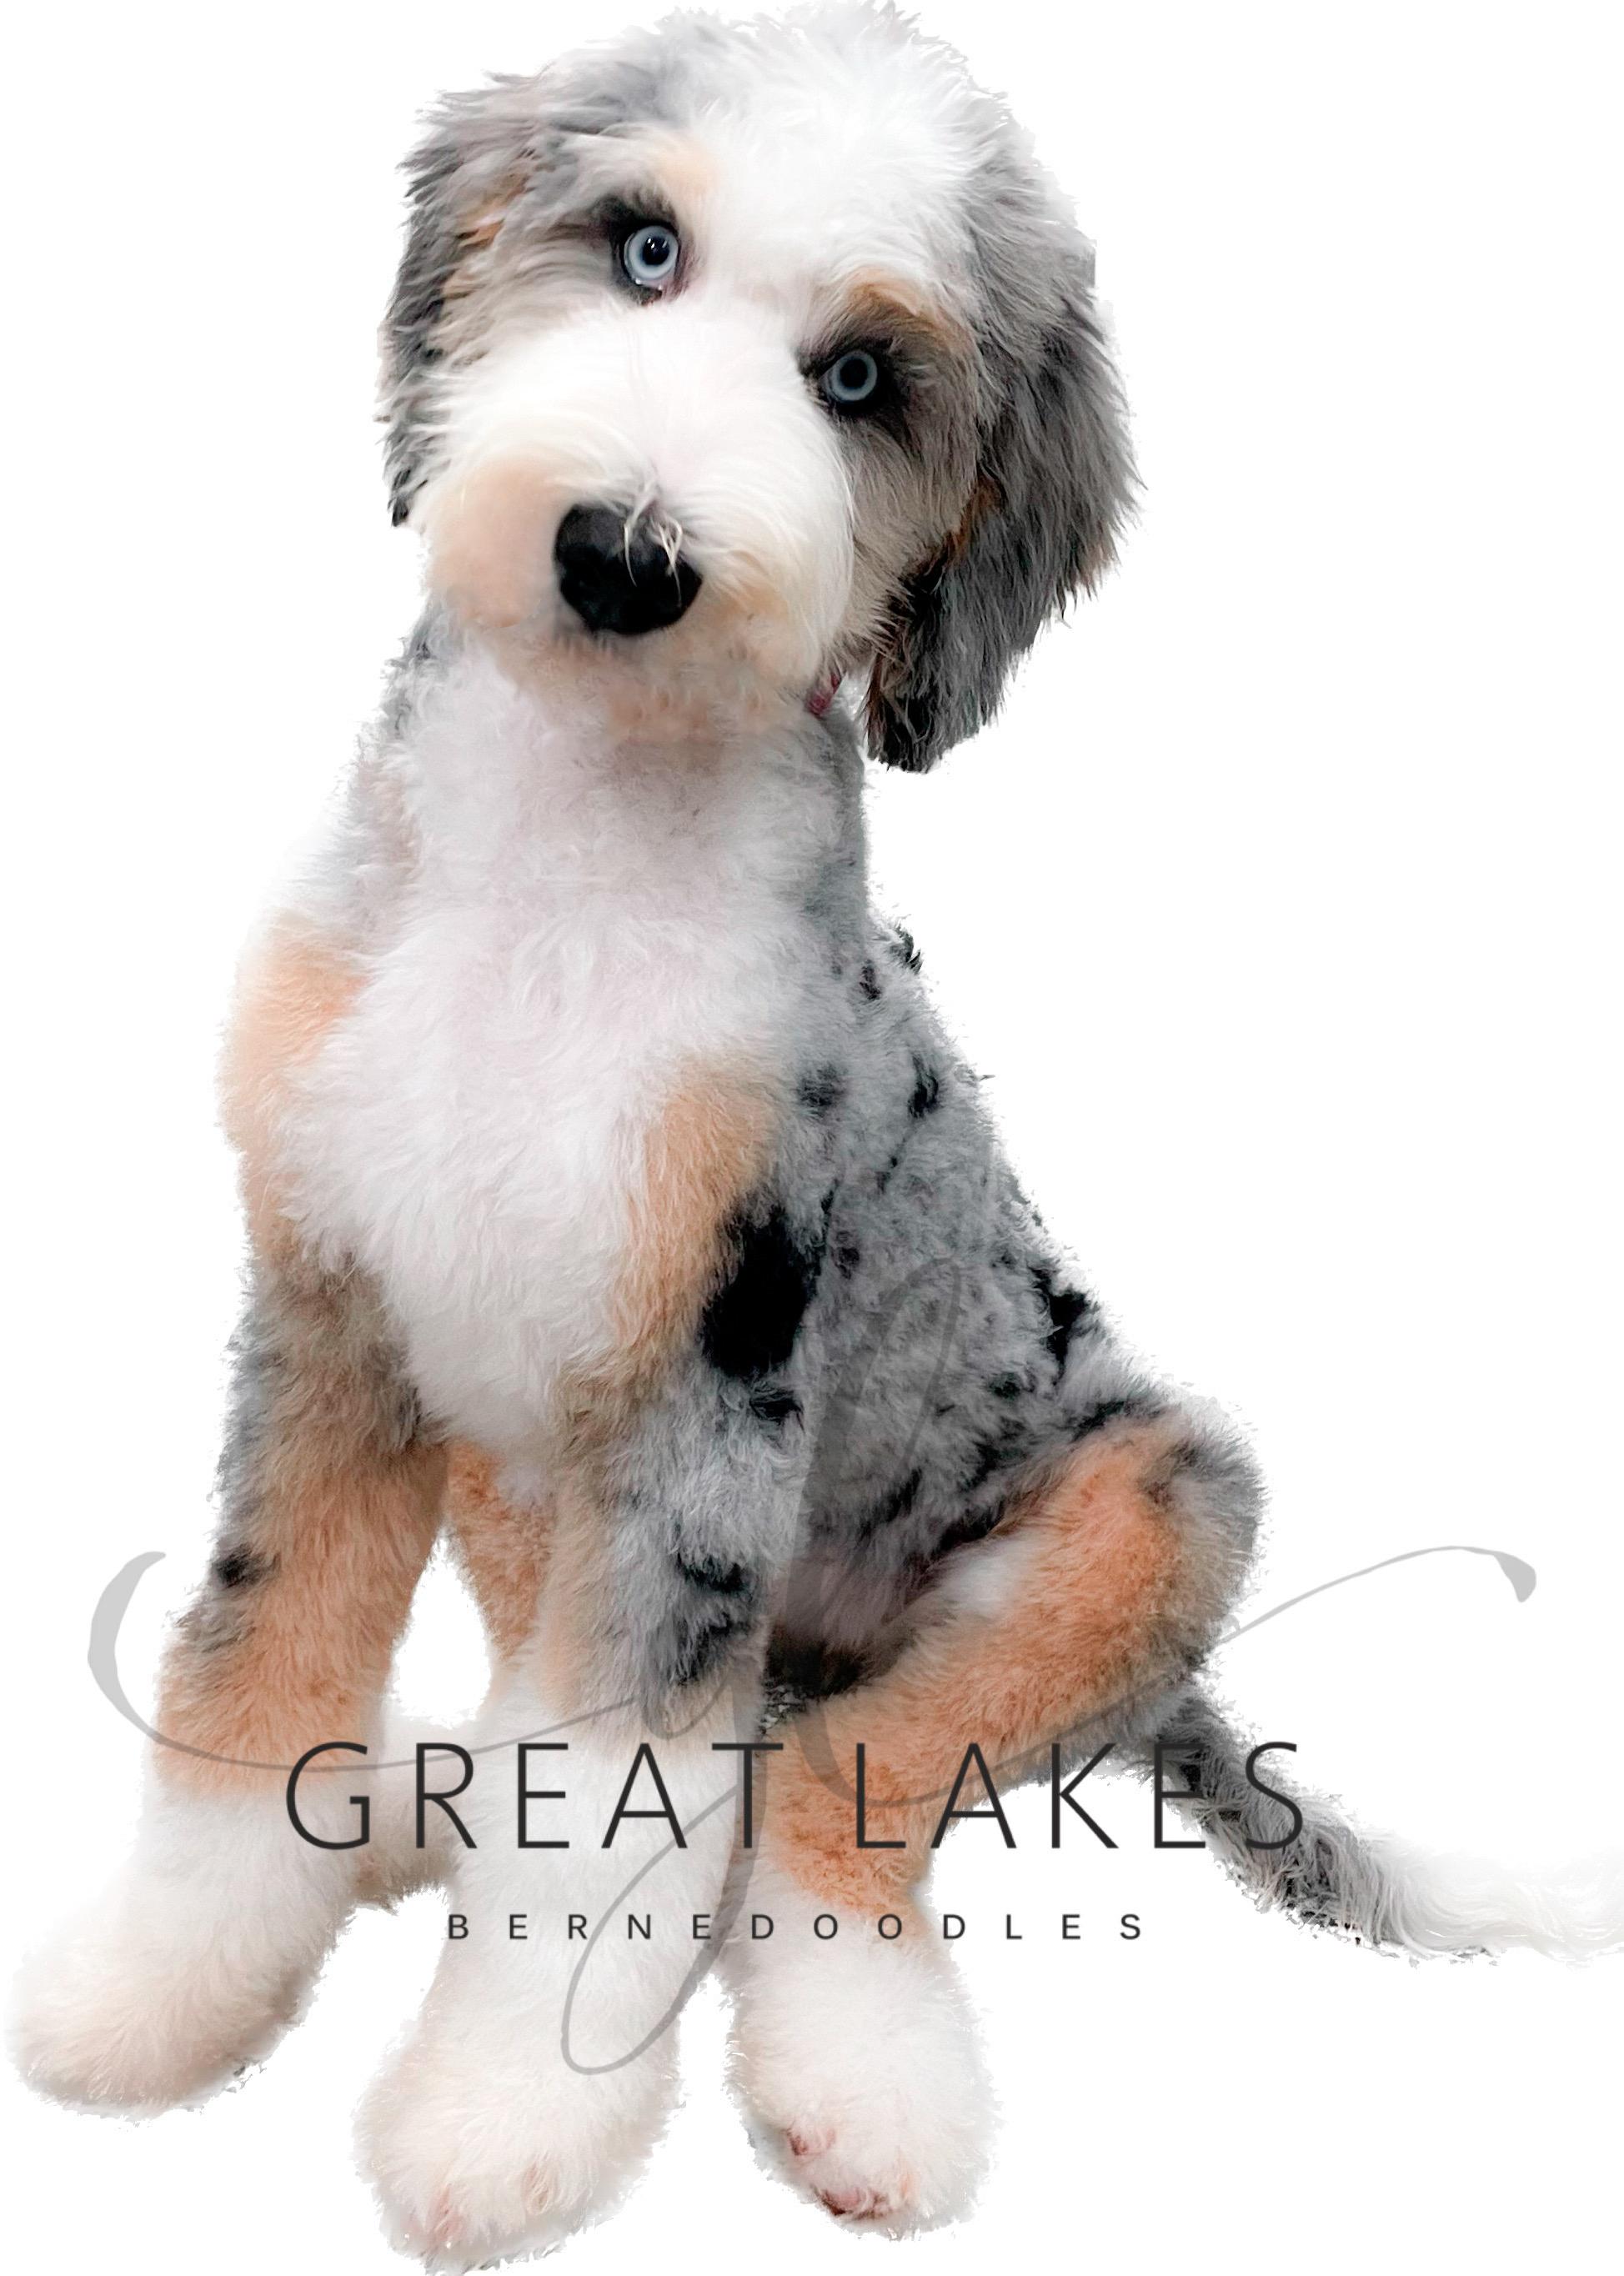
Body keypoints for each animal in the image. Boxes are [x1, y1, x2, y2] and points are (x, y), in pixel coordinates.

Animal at [13, 3, 1623, 2263]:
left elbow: (612, 1822)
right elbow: (254, 1664)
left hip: (1152, 1514)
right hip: (527, 1480)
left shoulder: (709, 1389)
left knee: (822, 1795)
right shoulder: (327, 1316)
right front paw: (161, 1990)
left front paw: (510, 2115)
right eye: (641, 248)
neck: (564, 861)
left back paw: (867, 2081)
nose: (624, 556)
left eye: (859, 379)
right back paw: (425, 1799)